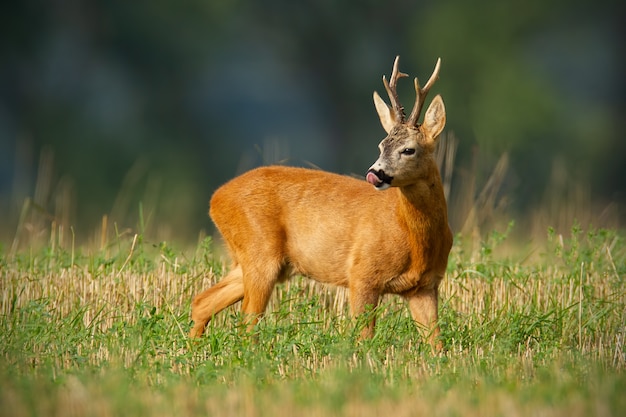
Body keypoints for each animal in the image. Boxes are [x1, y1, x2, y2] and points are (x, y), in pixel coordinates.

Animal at [188, 55, 450, 348]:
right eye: (381, 145)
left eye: (408, 149)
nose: (375, 173)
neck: (414, 238)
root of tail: (216, 199)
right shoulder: (362, 273)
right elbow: (363, 337)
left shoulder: (425, 286)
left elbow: (436, 344)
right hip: (259, 252)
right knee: (246, 323)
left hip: (257, 260)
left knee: (202, 302)